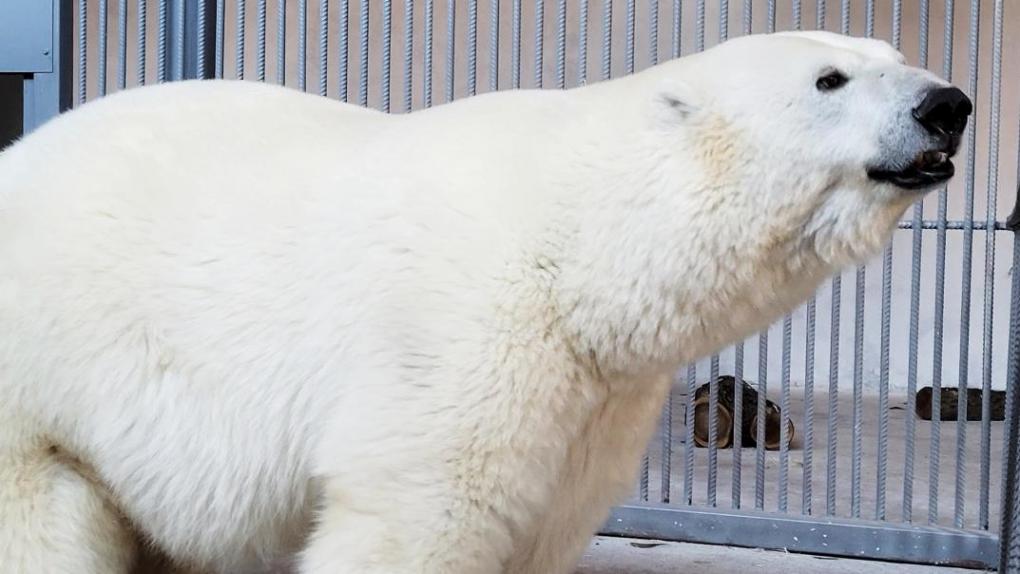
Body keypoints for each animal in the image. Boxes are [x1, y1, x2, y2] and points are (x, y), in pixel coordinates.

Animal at [0, 32, 971, 574]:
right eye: (830, 80)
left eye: (895, 57)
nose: (949, 103)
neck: (581, 243)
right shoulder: (463, 340)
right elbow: (423, 513)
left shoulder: (597, 399)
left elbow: (544, 526)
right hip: (39, 385)